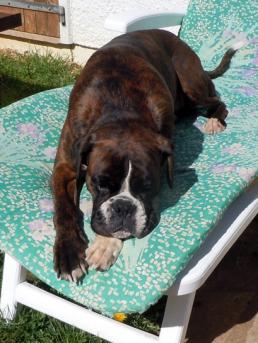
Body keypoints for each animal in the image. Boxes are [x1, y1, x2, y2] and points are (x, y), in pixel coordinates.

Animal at [52, 29, 238, 282]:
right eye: (100, 184)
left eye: (147, 186)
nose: (123, 208)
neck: (120, 108)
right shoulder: (66, 167)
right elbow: (64, 209)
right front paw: (69, 253)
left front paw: (106, 245)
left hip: (191, 85)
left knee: (217, 101)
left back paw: (215, 121)